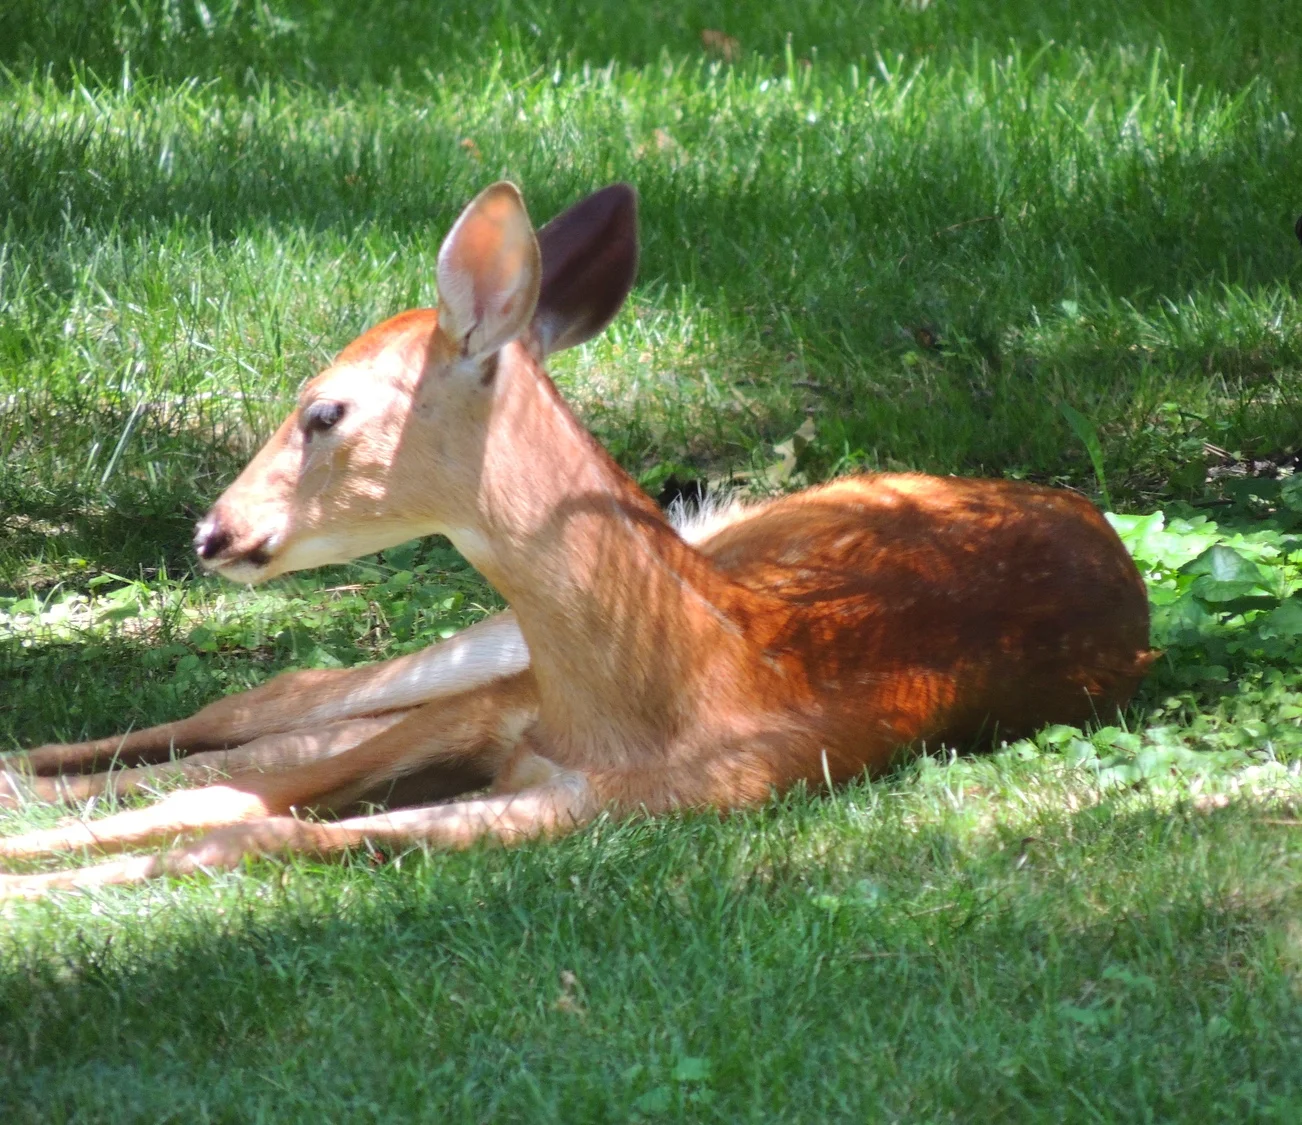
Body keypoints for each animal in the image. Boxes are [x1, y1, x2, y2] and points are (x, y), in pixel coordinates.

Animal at [0, 183, 1156, 897]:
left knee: (266, 720)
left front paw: (44, 881)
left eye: (323, 410)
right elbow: (223, 792)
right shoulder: (495, 711)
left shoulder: (621, 804)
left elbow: (241, 822)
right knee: (265, 704)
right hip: (527, 632)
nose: (213, 531)